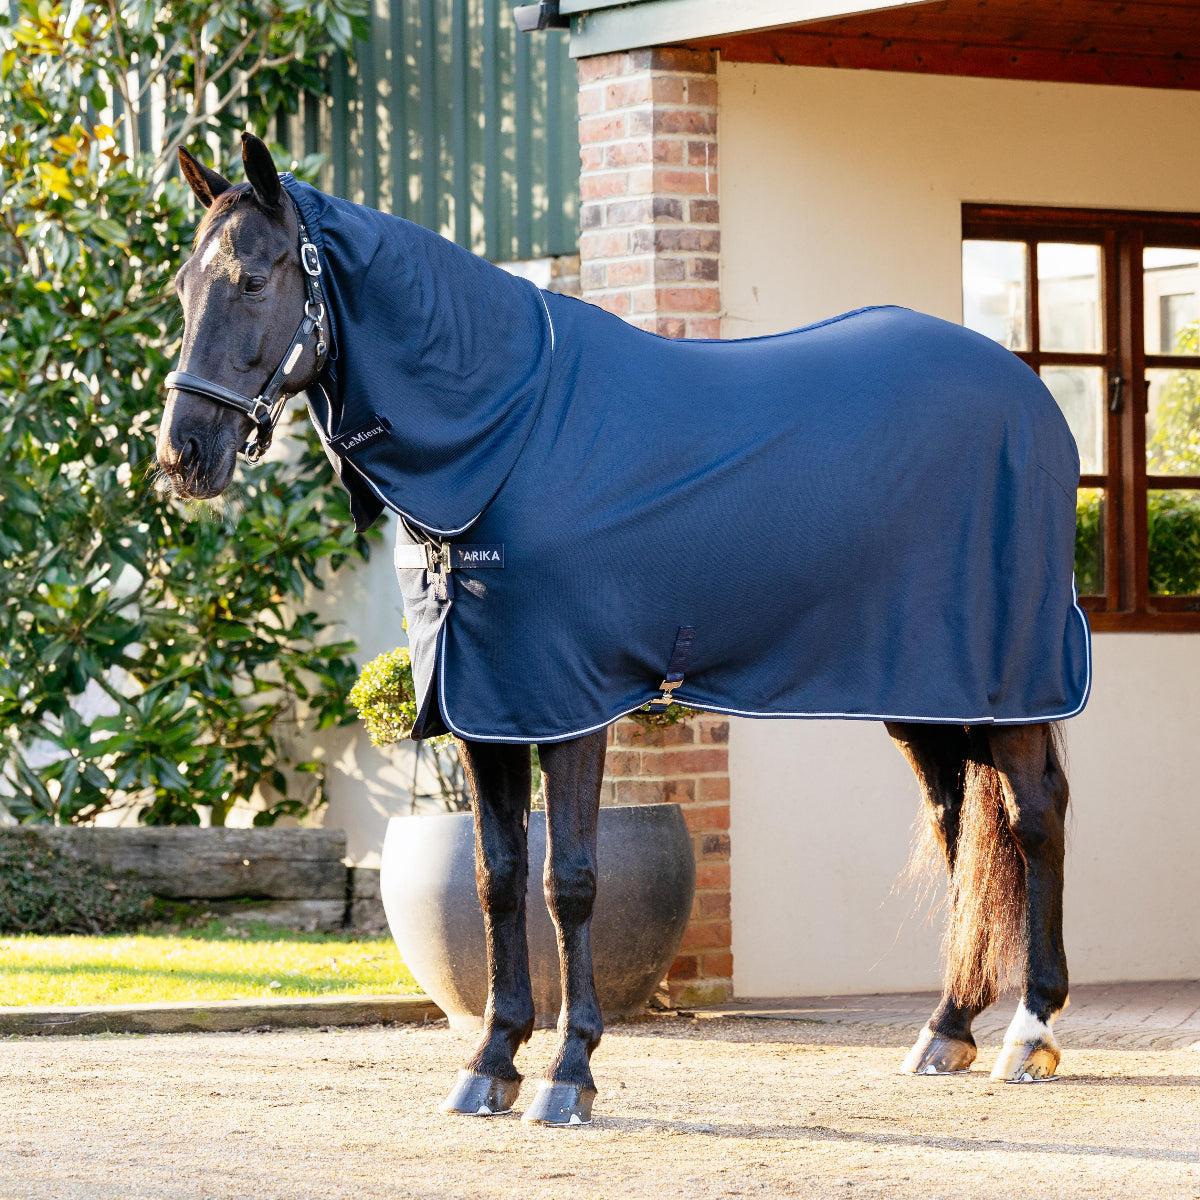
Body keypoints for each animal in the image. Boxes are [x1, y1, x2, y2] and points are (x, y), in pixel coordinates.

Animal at [157, 133, 1084, 1126]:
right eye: (181, 286)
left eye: (253, 279)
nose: (183, 454)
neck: (512, 435)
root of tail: (1031, 397)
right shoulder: (487, 707)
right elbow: (497, 878)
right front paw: (491, 1062)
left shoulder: (567, 703)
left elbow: (568, 881)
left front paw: (570, 1073)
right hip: (924, 693)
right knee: (958, 826)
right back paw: (947, 1026)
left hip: (1013, 681)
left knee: (1033, 820)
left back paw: (1030, 1032)